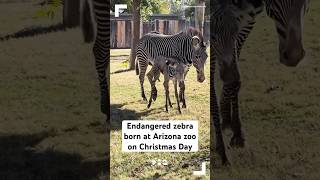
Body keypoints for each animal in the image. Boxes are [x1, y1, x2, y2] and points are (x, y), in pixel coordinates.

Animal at [211, 0, 308, 165]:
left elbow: (235, 79)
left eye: (304, 3)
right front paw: (221, 149)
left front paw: (235, 130)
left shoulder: (246, 20)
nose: (294, 56)